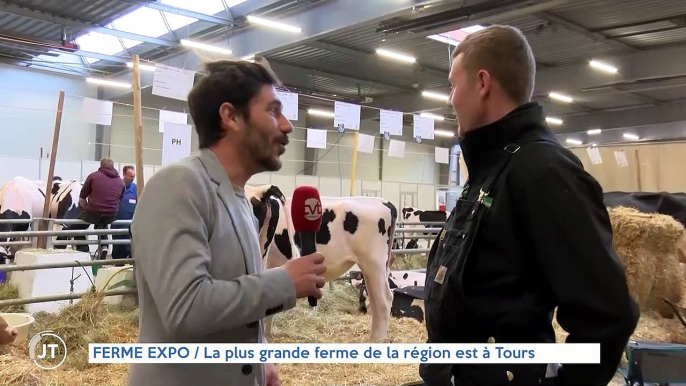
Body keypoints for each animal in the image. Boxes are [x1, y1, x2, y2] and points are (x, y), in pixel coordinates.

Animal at [246, 185, 398, 342]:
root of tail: (384, 202)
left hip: (374, 263)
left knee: (384, 300)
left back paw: (378, 340)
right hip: (371, 268)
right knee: (374, 300)